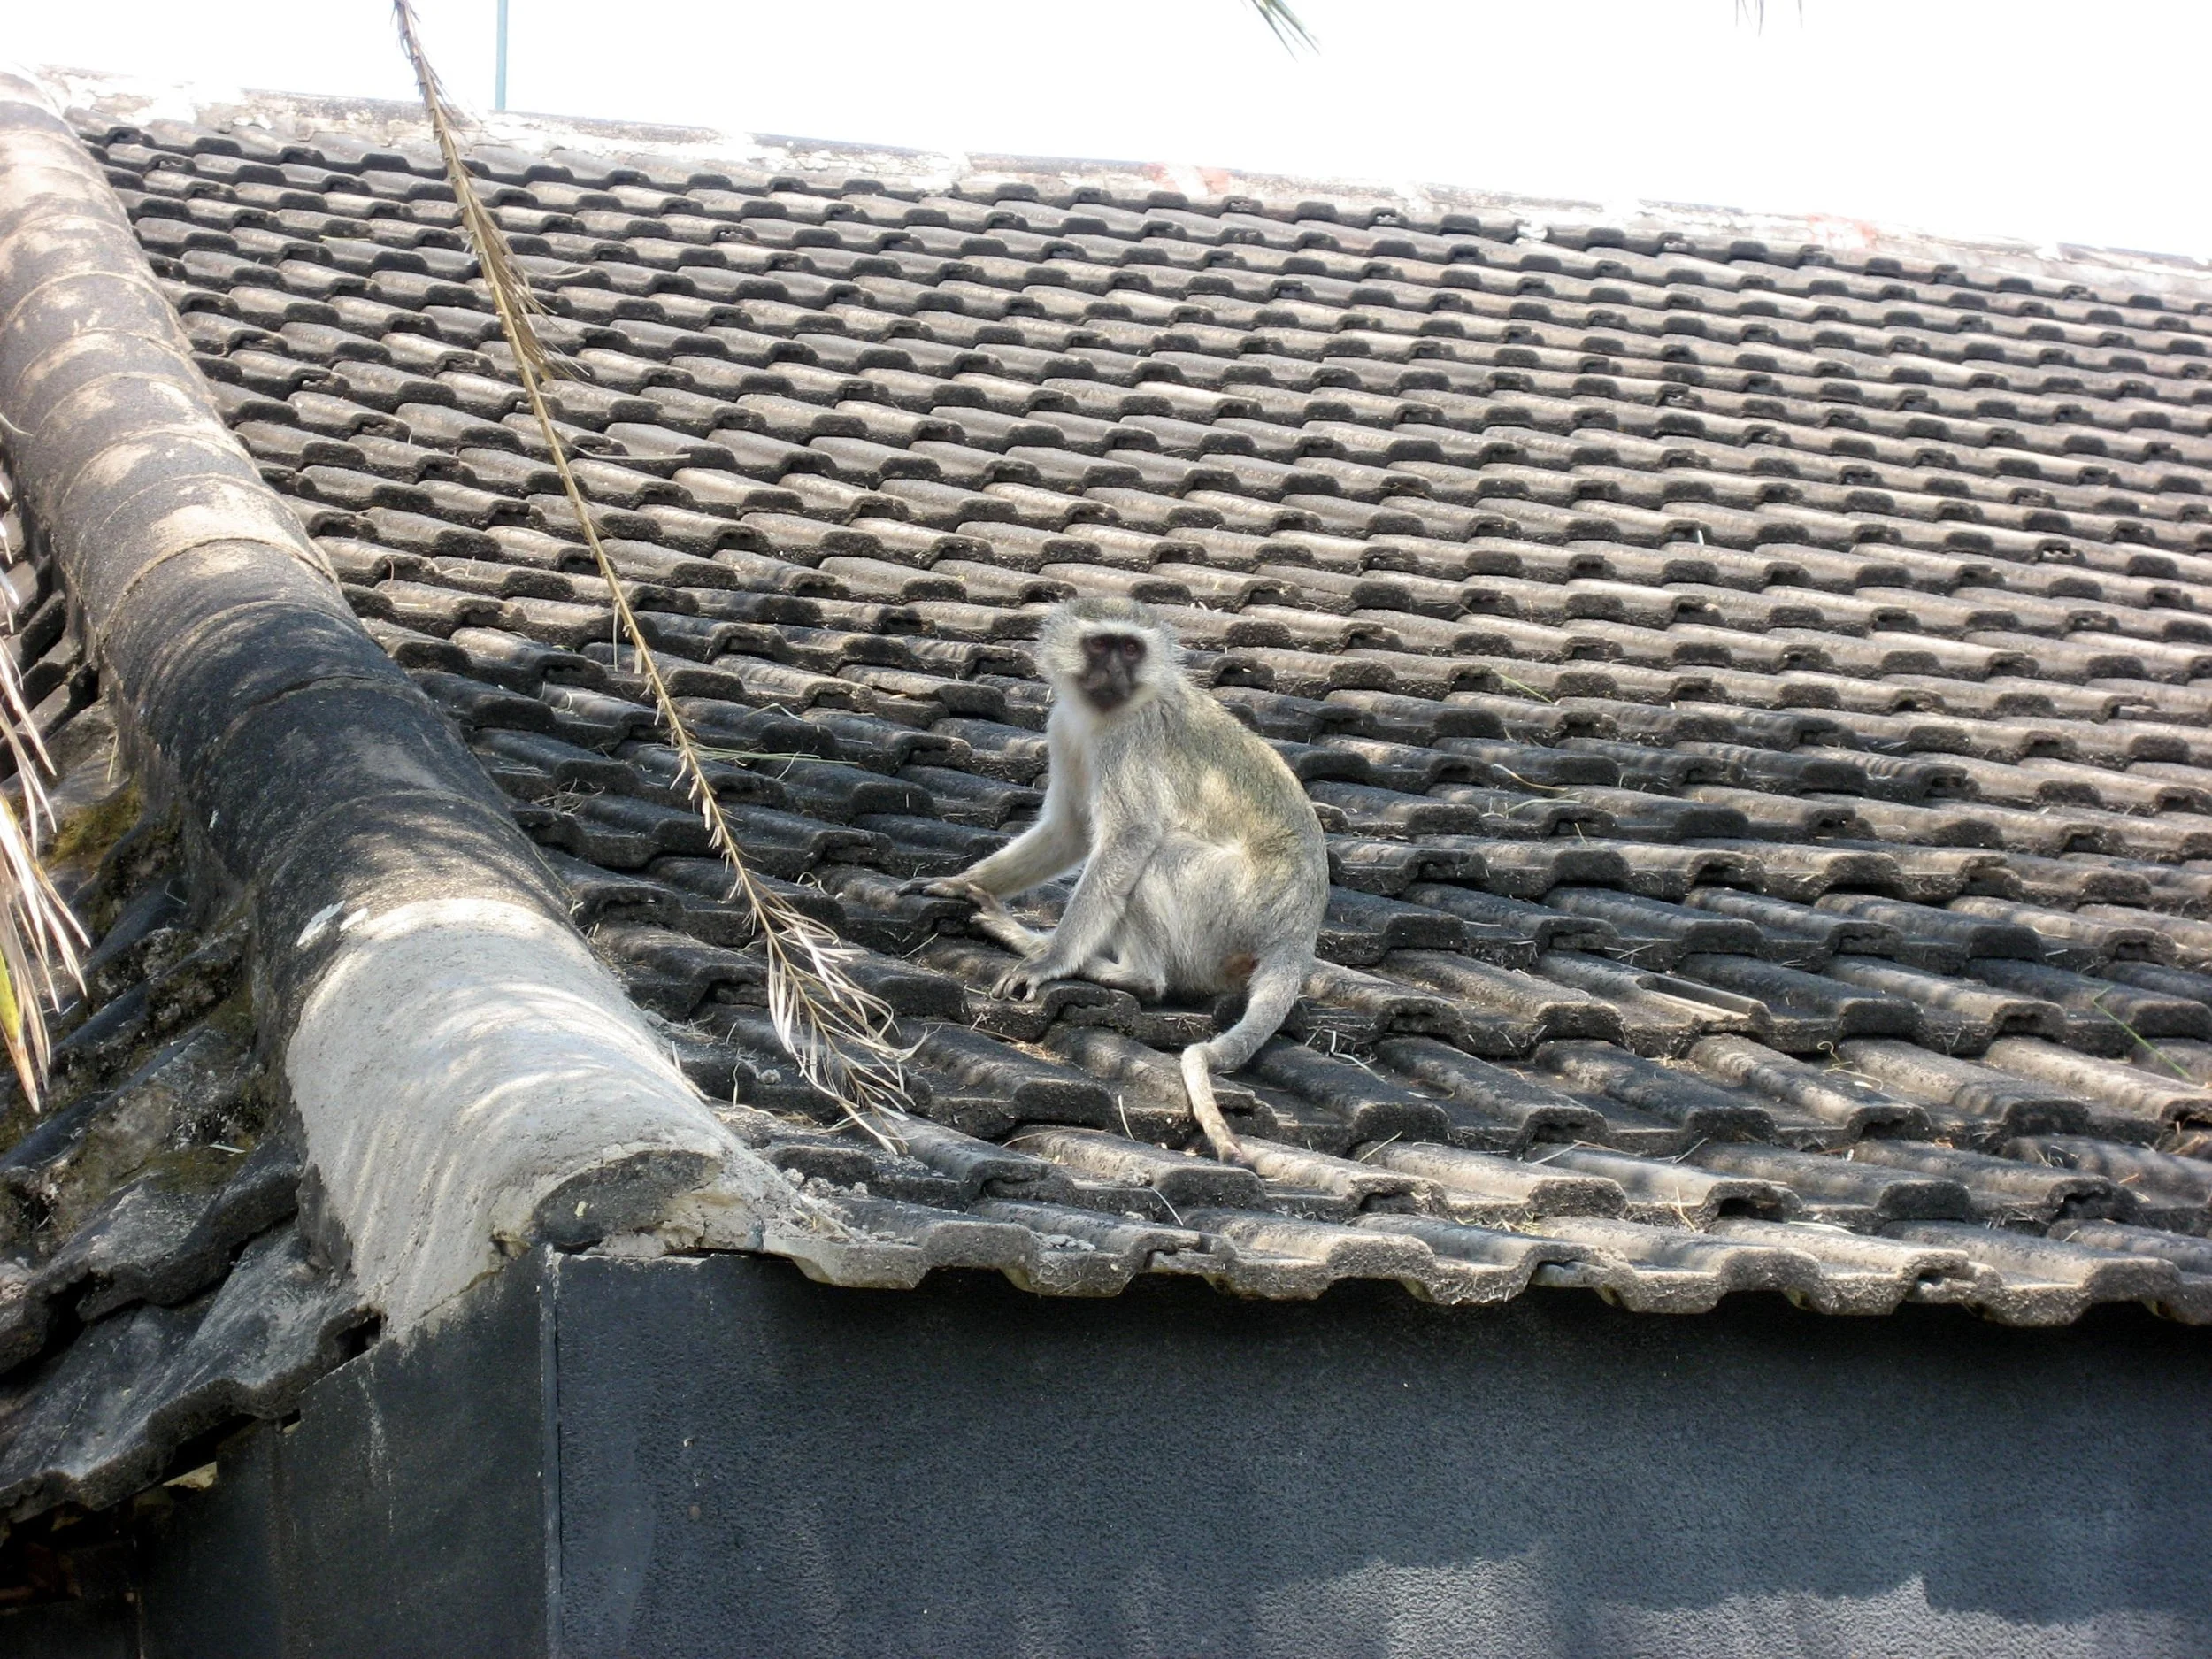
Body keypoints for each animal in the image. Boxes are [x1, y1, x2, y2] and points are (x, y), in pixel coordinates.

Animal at [909, 597, 1329, 1165]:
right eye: (1101, 645)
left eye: (1131, 648)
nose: (1114, 670)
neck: (1106, 713)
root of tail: (1297, 935)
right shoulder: (1064, 725)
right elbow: (1067, 830)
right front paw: (961, 882)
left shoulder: (1130, 740)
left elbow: (1129, 838)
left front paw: (1051, 960)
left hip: (1238, 904)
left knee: (1158, 857)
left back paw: (1123, 972)